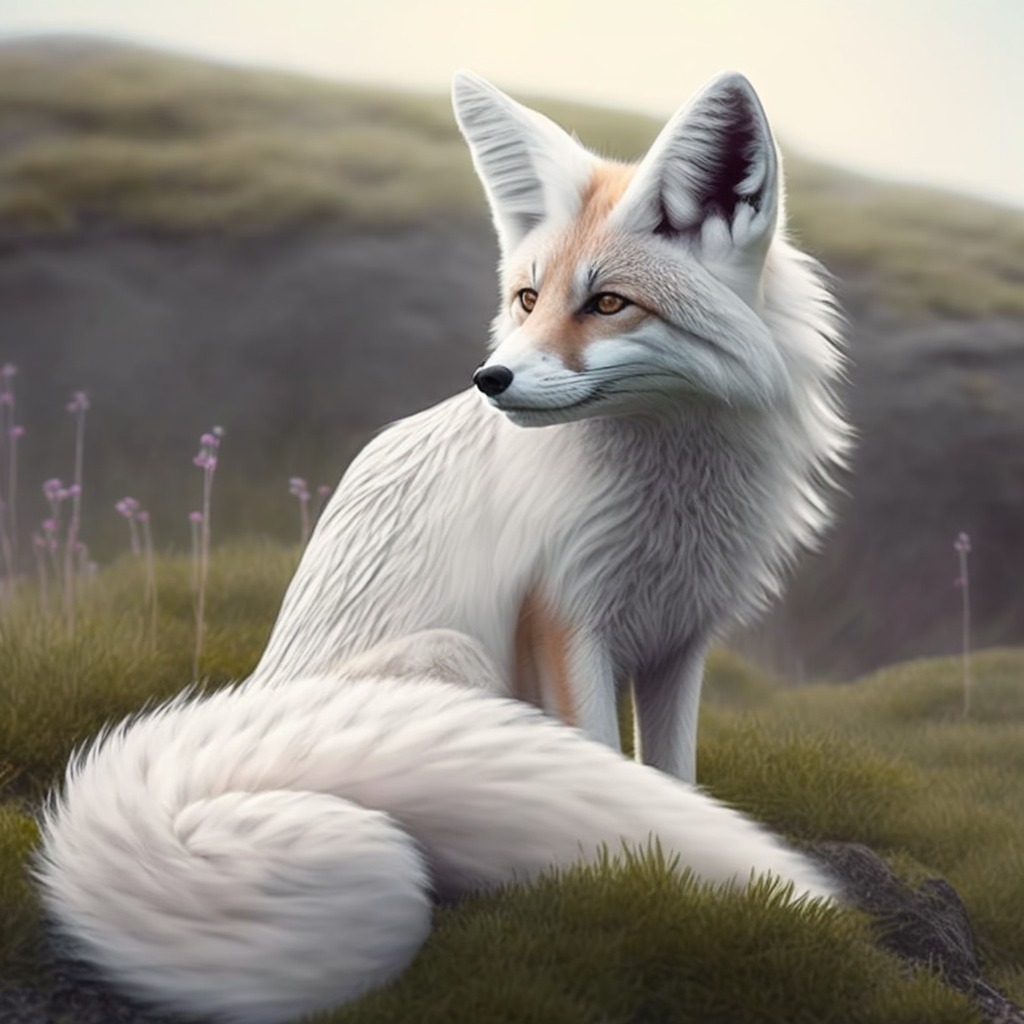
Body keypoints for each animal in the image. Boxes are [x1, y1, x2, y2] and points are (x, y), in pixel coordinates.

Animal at [36, 72, 848, 1022]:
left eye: (608, 303)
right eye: (528, 299)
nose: (490, 379)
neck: (672, 491)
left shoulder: (679, 640)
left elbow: (673, 775)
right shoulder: (564, 619)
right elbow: (609, 766)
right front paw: (632, 880)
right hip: (450, 660)